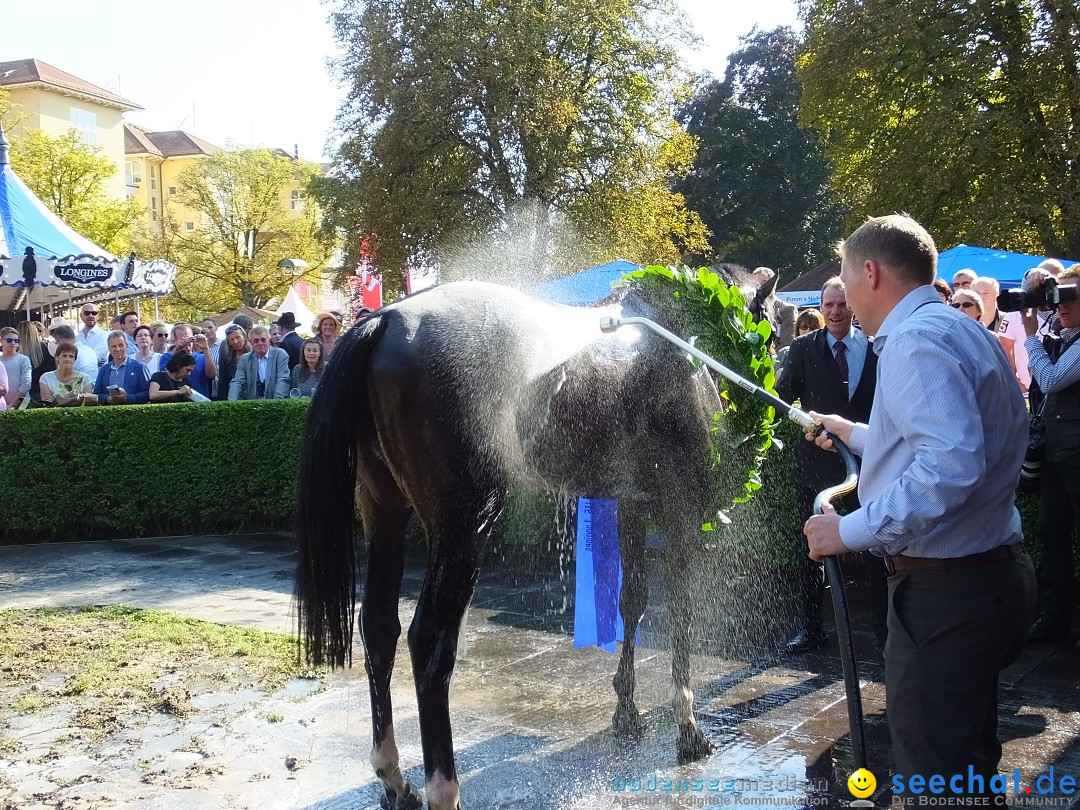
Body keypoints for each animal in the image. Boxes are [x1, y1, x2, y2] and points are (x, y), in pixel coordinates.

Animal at [295, 273, 777, 810]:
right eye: (772, 317)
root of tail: (386, 321)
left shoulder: (630, 504)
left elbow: (632, 602)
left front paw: (627, 711)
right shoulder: (682, 511)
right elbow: (682, 613)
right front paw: (687, 726)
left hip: (385, 512)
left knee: (380, 628)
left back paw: (396, 781)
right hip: (465, 525)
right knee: (430, 640)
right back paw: (444, 787)